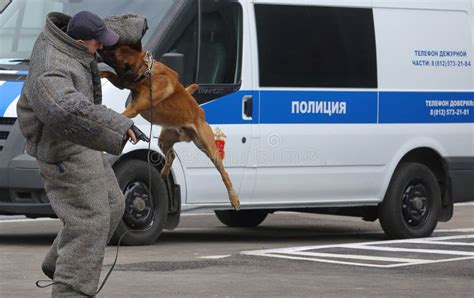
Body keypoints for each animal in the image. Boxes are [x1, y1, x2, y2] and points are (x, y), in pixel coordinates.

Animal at [100, 46, 241, 210]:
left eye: (112, 51)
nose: (98, 50)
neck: (148, 72)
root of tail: (200, 112)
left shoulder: (133, 108)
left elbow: (121, 113)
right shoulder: (125, 83)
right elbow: (110, 74)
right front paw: (100, 73)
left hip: (208, 148)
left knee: (224, 174)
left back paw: (234, 199)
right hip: (164, 140)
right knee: (171, 155)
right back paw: (163, 173)